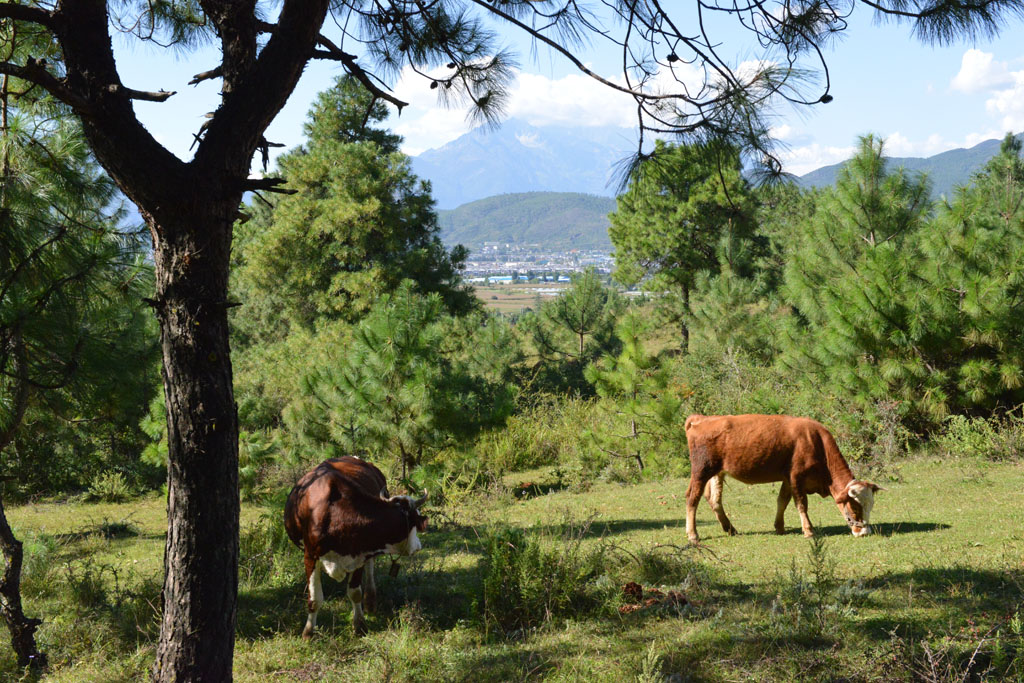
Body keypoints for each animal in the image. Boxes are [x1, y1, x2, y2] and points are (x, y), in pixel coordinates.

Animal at [282, 456, 425, 638]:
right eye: (416, 521)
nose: (418, 546)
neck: (334, 514)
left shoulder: (360, 554)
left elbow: (355, 593)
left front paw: (360, 625)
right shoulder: (310, 556)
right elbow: (314, 599)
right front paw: (308, 632)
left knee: (370, 569)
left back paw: (370, 601)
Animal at [679, 413, 880, 540]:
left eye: (871, 505)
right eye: (855, 506)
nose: (864, 532)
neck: (816, 442)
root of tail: (702, 419)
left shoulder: (787, 479)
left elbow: (782, 501)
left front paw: (780, 527)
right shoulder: (796, 477)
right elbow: (801, 504)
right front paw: (808, 530)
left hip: (716, 473)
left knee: (714, 499)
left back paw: (730, 528)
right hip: (700, 472)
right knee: (692, 498)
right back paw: (693, 535)